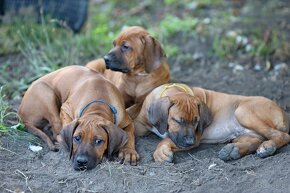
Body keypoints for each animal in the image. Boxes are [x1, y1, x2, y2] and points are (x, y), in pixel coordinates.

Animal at [134, 83, 290, 162]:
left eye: (196, 121)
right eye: (178, 121)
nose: (190, 142)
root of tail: (284, 113)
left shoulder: (195, 138)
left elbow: (166, 139)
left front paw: (160, 152)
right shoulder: (140, 122)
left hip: (242, 111)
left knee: (282, 136)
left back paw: (268, 147)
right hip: (246, 133)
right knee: (255, 141)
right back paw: (232, 150)